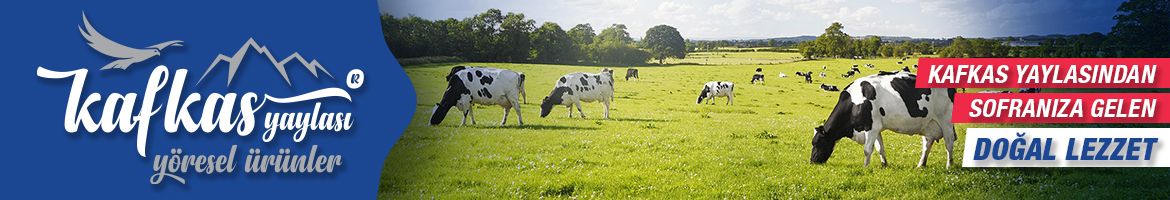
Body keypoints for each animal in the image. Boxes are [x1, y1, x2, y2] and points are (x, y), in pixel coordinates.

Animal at [809, 71, 954, 168]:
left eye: (818, 143)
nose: (812, 161)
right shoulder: (876, 127)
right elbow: (880, 148)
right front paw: (884, 164)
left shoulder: (870, 127)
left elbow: (867, 149)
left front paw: (865, 168)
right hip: (928, 124)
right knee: (927, 144)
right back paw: (920, 165)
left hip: (946, 120)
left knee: (949, 143)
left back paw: (949, 166)